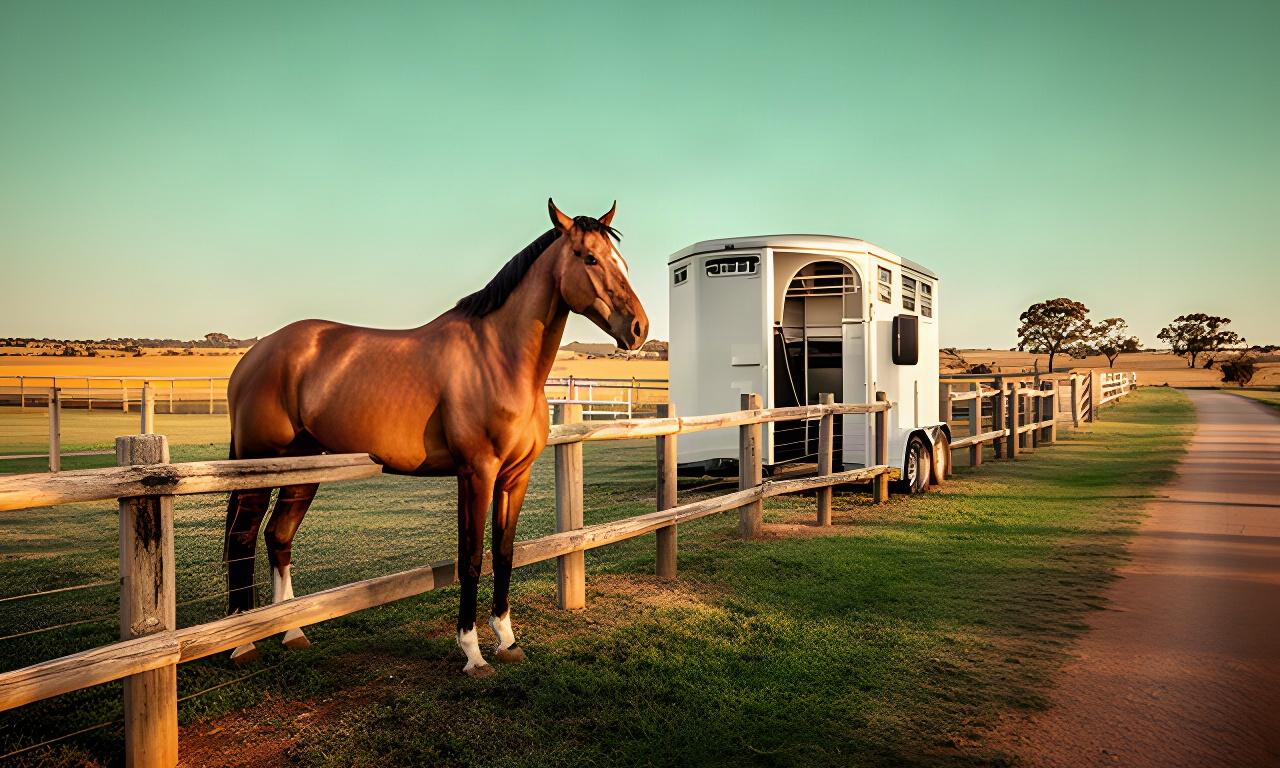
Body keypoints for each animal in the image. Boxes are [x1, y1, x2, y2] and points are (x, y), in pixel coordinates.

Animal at [222, 199, 648, 677]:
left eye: (622, 262)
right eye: (589, 258)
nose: (638, 328)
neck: (499, 358)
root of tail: (255, 355)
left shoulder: (513, 477)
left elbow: (505, 552)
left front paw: (507, 639)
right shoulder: (476, 473)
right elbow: (472, 558)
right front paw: (473, 652)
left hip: (304, 469)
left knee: (277, 536)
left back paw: (291, 631)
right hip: (257, 468)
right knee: (241, 538)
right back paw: (242, 644)